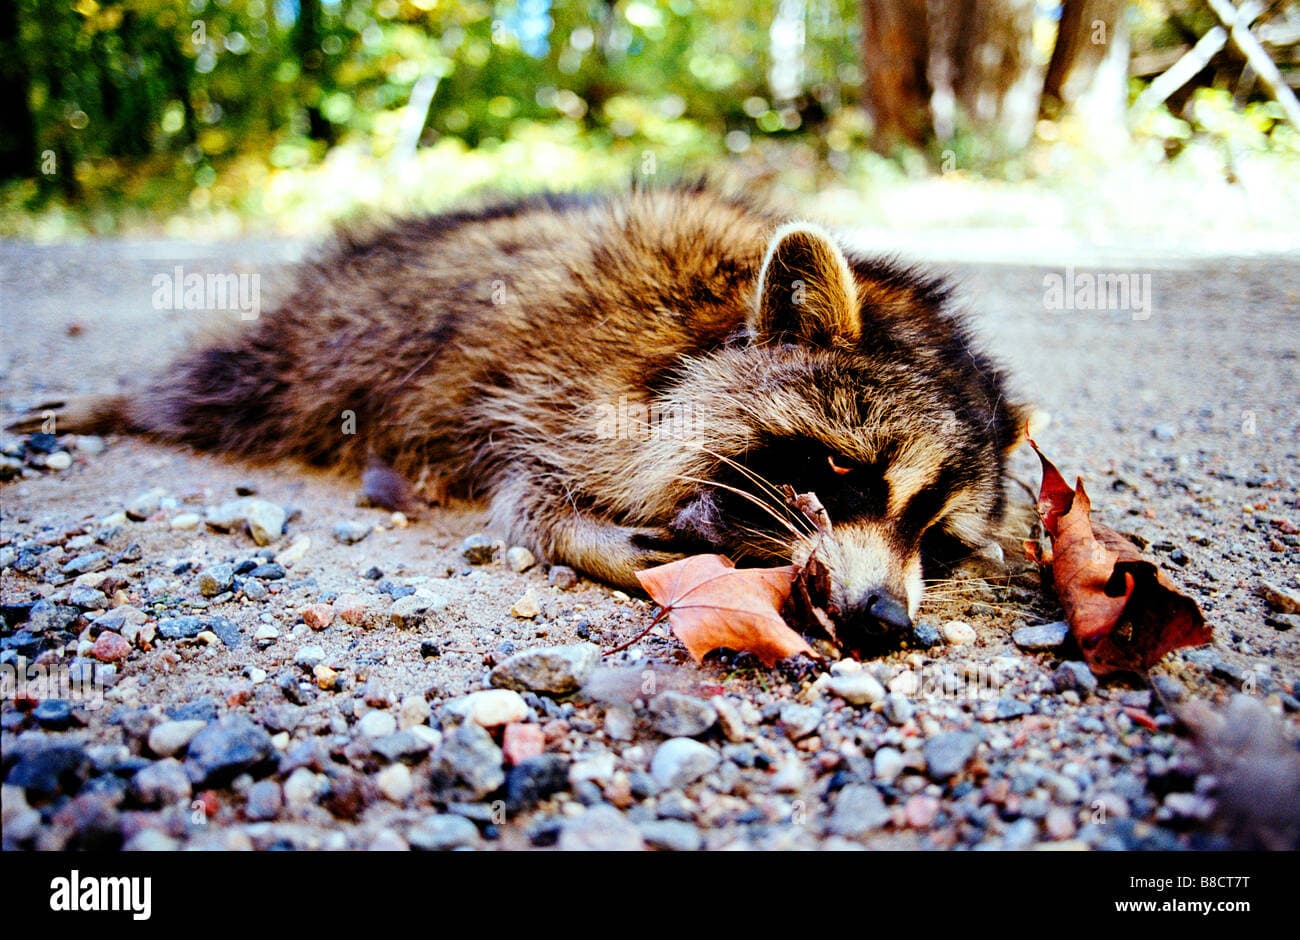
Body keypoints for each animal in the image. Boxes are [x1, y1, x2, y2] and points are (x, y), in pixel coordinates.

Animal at [12, 184, 1027, 643]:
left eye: (936, 540)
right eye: (846, 472)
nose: (885, 620)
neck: (708, 325)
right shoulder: (562, 381)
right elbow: (526, 490)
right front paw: (594, 536)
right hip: (335, 339)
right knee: (226, 385)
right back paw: (119, 400)